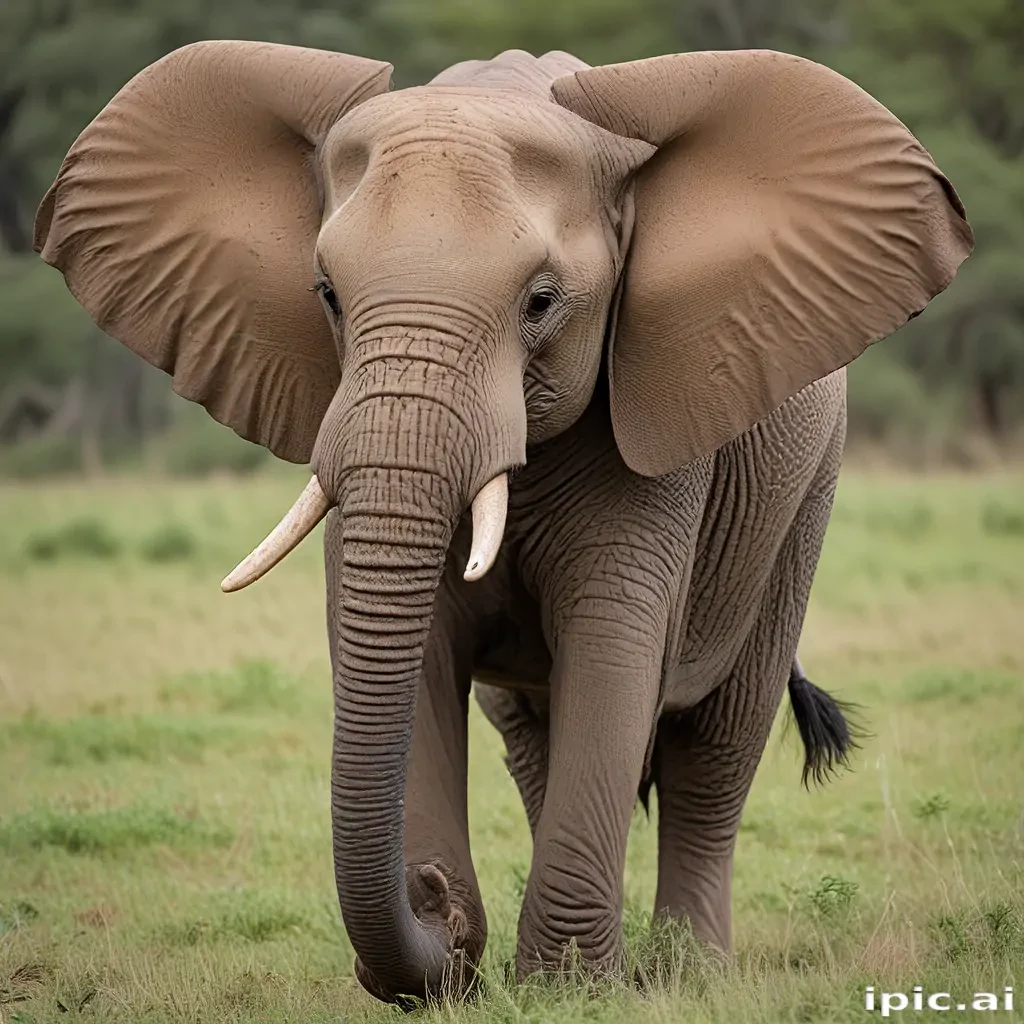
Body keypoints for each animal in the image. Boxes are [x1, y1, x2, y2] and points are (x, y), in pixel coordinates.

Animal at [35, 42, 972, 1004]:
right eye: (327, 294)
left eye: (541, 302)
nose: (429, 894)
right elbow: (418, 652)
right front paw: (485, 973)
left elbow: (614, 650)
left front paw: (569, 989)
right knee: (532, 740)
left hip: (804, 491)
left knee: (717, 743)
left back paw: (688, 972)